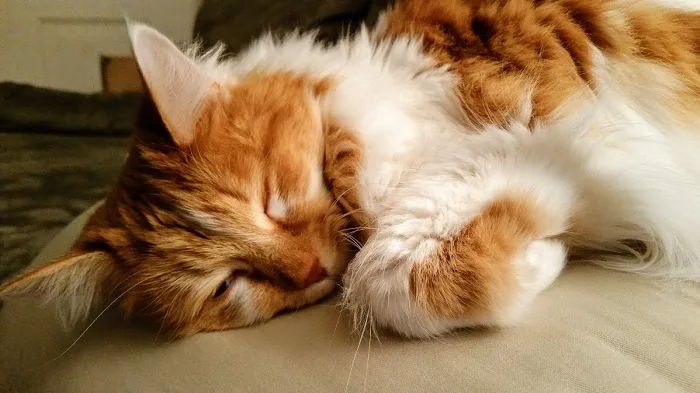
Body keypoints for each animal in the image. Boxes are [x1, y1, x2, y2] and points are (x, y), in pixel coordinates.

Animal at [1, 0, 700, 336]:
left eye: (272, 196)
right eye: (226, 285)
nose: (311, 269)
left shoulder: (533, 137)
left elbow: (387, 278)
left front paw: (546, 253)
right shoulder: (523, 162)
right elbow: (404, 280)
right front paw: (544, 253)